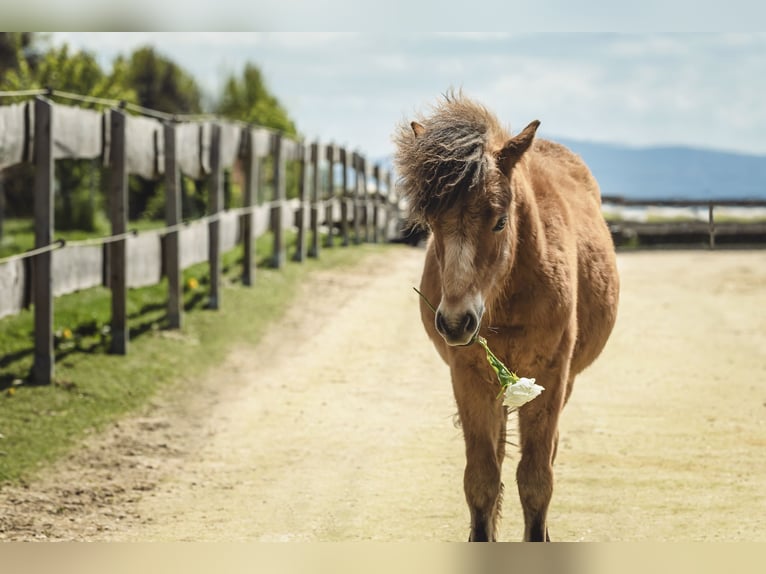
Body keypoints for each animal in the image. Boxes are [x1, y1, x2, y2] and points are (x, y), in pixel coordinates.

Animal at [392, 92, 620, 544]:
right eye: (431, 224)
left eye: (499, 220)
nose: (456, 323)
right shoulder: (469, 378)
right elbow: (482, 479)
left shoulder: (550, 377)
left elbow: (536, 480)